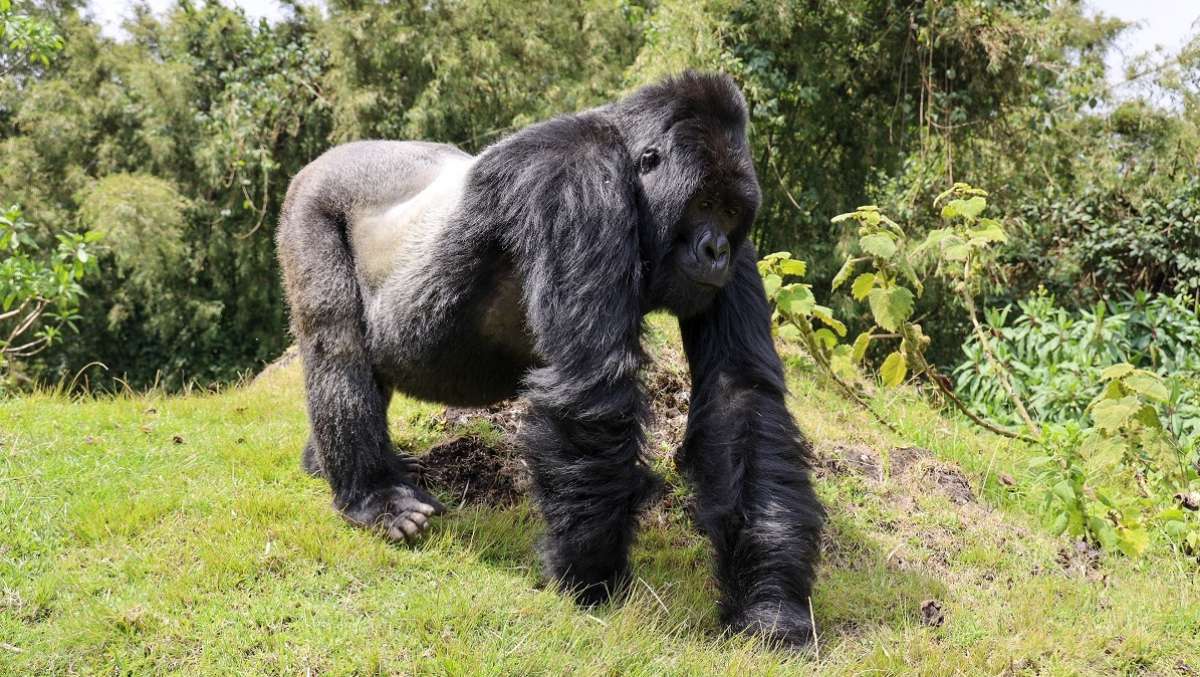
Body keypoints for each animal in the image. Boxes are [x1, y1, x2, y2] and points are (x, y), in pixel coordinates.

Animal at [276, 71, 825, 648]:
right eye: (703, 204)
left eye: (730, 211)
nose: (716, 250)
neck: (627, 160)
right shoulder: (578, 181)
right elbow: (590, 386)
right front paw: (589, 577)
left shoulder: (740, 253)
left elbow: (739, 398)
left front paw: (770, 606)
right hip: (314, 202)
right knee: (335, 340)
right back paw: (372, 495)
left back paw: (327, 464)